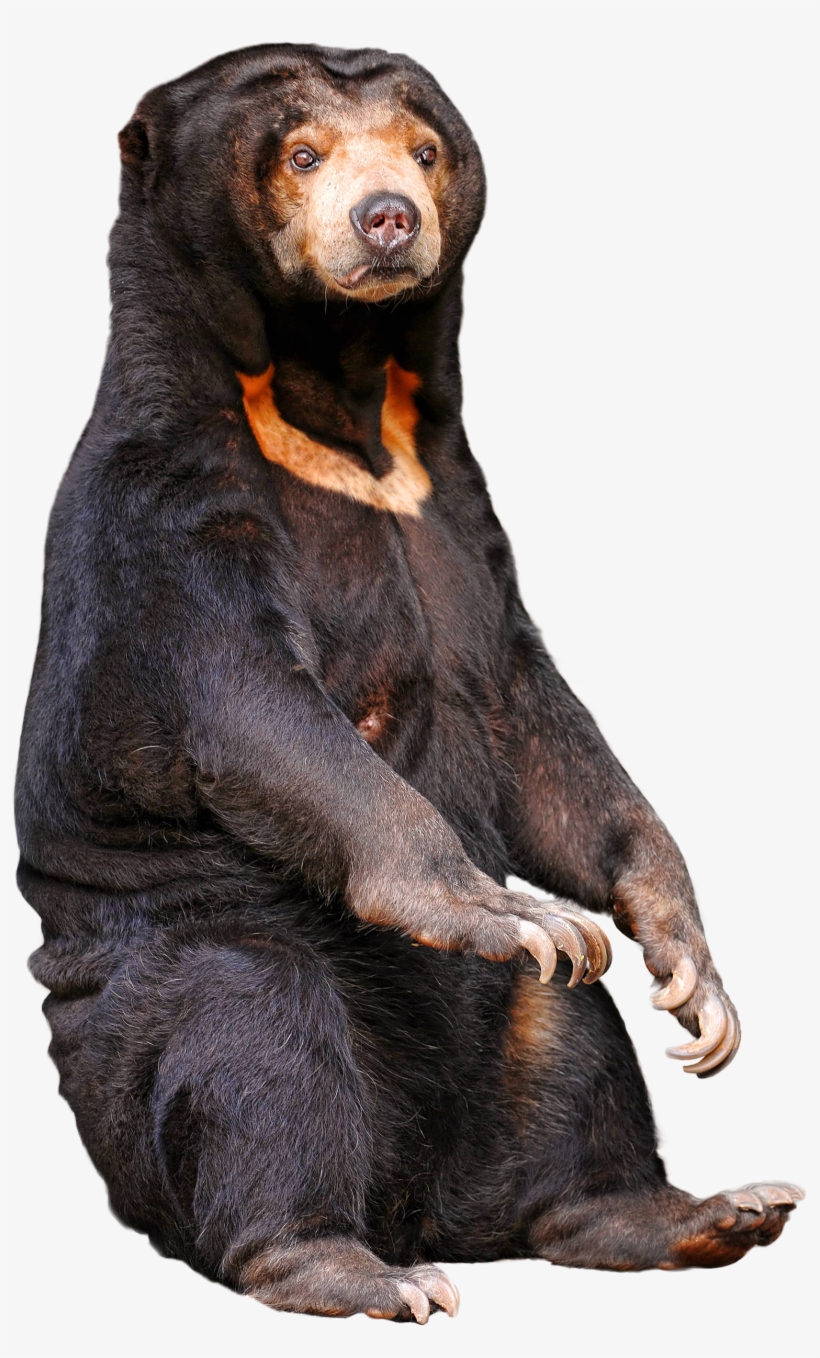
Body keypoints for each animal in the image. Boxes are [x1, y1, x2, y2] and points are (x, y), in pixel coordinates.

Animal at [15, 43, 802, 1324]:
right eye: (300, 152)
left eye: (424, 149)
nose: (386, 216)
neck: (333, 401)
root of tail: (419, 1200)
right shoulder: (168, 503)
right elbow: (254, 707)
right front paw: (501, 907)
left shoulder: (455, 505)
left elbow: (535, 719)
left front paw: (694, 976)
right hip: (164, 982)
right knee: (256, 1039)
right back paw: (349, 1266)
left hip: (503, 1062)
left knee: (572, 1041)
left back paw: (689, 1211)